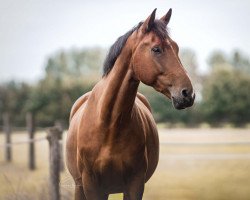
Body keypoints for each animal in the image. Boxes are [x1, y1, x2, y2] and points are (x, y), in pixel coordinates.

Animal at [66, 8, 195, 200]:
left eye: (176, 47)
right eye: (156, 49)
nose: (188, 94)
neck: (108, 124)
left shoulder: (135, 184)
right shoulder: (91, 186)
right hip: (80, 186)